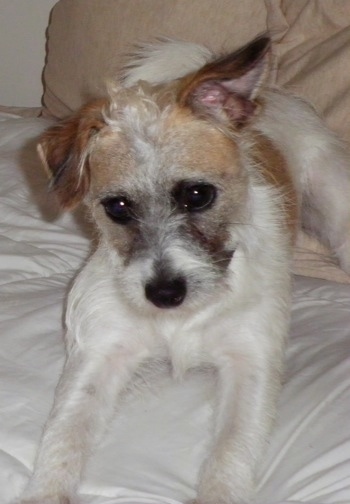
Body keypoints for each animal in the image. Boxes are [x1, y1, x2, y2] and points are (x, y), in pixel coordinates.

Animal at [15, 36, 350, 504]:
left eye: (197, 195)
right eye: (117, 207)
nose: (165, 294)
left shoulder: (250, 365)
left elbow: (230, 453)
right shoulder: (99, 357)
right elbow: (64, 437)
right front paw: (45, 491)